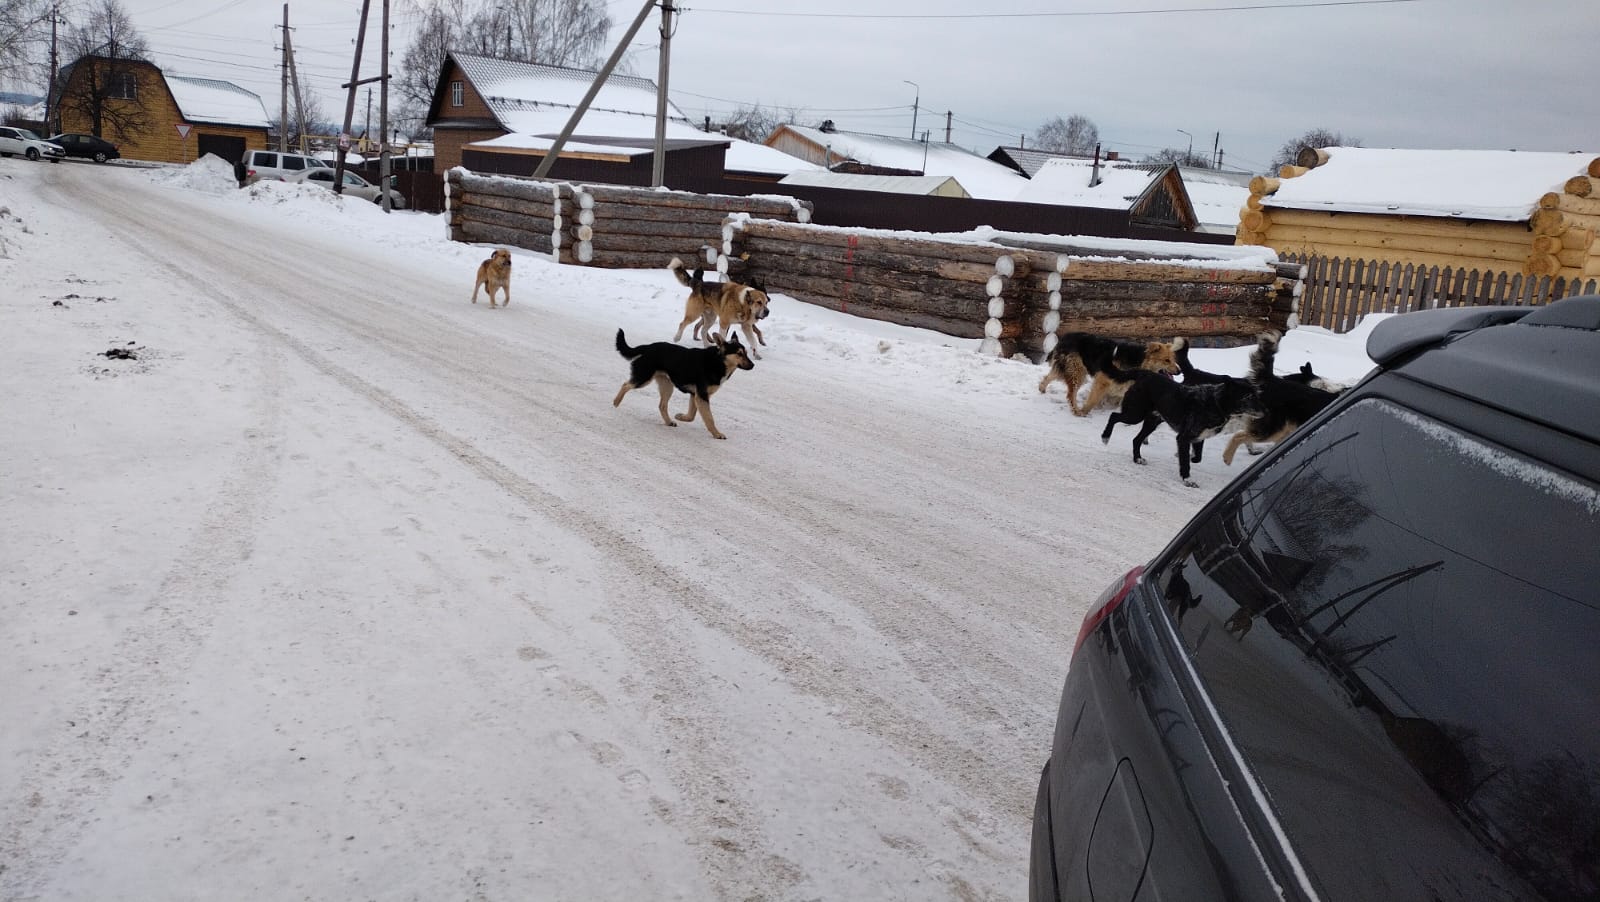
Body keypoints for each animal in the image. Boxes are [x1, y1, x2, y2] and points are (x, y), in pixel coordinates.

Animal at [614, 327, 758, 441]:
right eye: (739, 354)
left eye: (746, 353)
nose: (753, 365)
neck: (718, 361)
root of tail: (649, 347)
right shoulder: (701, 396)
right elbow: (709, 418)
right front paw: (717, 434)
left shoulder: (696, 395)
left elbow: (692, 416)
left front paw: (680, 417)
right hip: (643, 378)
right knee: (625, 385)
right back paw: (616, 402)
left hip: (667, 386)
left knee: (662, 405)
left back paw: (669, 421)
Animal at [1043, 331, 1184, 415]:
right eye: (1166, 360)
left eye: (1174, 359)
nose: (1179, 371)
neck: (1139, 361)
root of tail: (1066, 336)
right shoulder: (1103, 381)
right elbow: (1093, 400)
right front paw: (1085, 411)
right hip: (1076, 371)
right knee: (1070, 394)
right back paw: (1076, 410)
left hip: (1071, 368)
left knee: (1049, 376)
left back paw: (1041, 389)